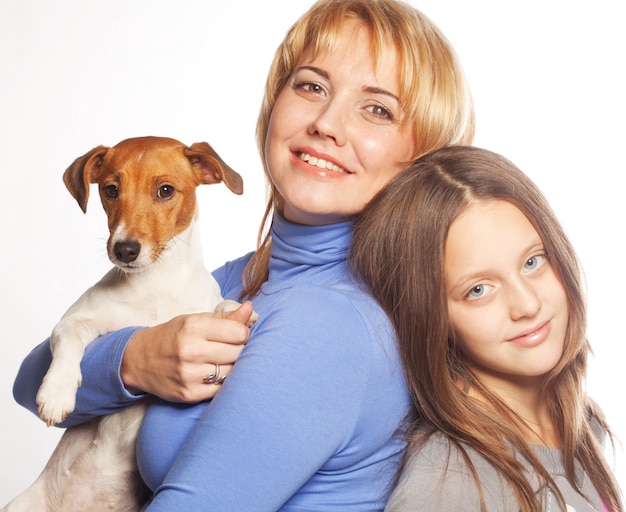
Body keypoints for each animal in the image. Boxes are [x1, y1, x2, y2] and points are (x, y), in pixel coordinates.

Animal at [4, 136, 249, 512]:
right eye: (110, 190)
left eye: (165, 190)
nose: (125, 250)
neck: (155, 284)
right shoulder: (73, 320)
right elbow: (69, 341)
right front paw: (57, 392)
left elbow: (221, 305)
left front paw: (233, 309)